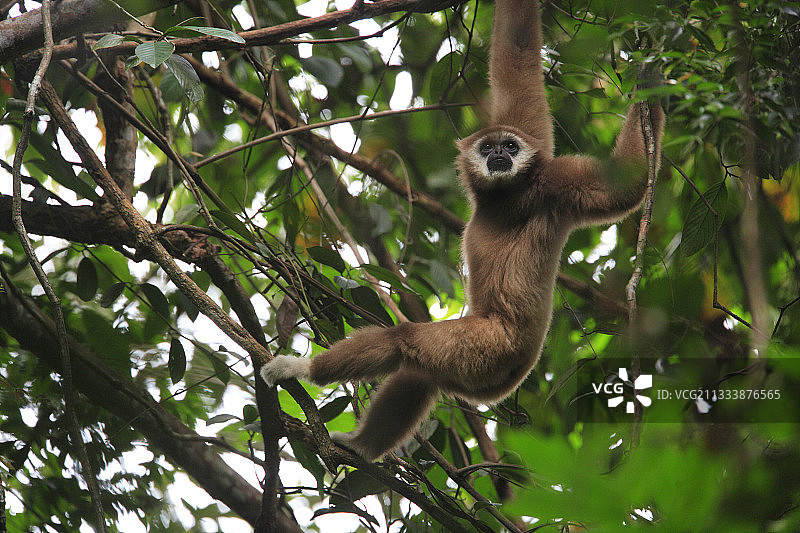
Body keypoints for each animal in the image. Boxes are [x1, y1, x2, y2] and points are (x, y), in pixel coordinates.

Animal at [261, 0, 664, 462]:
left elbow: (627, 183)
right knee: (420, 374)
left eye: (509, 146)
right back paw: (363, 447)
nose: (498, 156)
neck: (506, 197)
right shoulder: (539, 148)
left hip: (483, 348)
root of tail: (515, 374)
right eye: (489, 147)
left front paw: (651, 78)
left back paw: (304, 372)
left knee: (405, 341)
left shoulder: (552, 183)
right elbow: (518, 54)